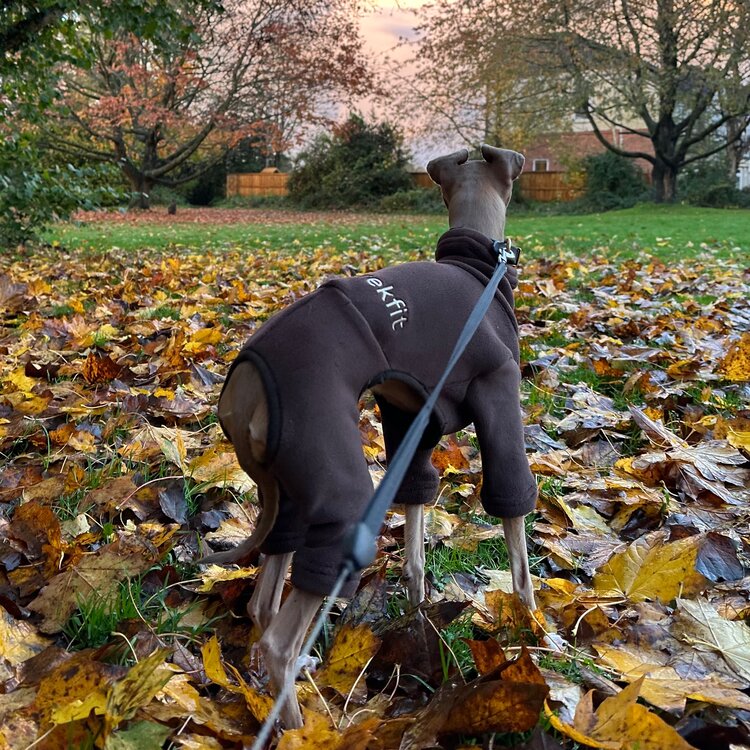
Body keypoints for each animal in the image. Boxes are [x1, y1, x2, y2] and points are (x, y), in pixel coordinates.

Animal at [203, 145, 536, 728]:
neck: (476, 270)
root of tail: (244, 385)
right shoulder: (497, 391)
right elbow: (513, 523)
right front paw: (536, 629)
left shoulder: (413, 421)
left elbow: (417, 528)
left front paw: (420, 616)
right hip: (340, 492)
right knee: (278, 643)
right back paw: (299, 727)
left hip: (290, 491)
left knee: (263, 604)